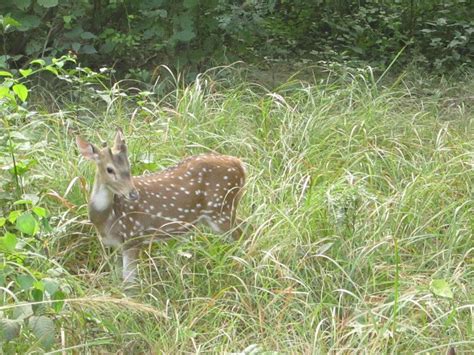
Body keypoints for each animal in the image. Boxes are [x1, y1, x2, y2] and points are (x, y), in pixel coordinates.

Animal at [76, 129, 246, 282]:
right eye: (109, 169)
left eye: (129, 167)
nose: (133, 194)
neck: (107, 218)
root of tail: (241, 166)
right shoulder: (116, 245)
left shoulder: (134, 235)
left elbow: (129, 282)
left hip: (221, 208)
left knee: (241, 233)